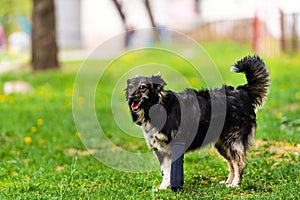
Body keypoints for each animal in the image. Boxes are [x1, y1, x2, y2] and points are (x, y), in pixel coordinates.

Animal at [124, 55, 270, 191]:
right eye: (129, 88)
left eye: (143, 87)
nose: (130, 98)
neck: (159, 107)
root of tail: (242, 91)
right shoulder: (160, 149)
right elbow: (165, 172)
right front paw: (163, 187)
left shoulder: (175, 144)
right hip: (222, 143)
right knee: (231, 163)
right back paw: (228, 182)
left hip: (233, 140)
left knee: (239, 163)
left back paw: (235, 184)